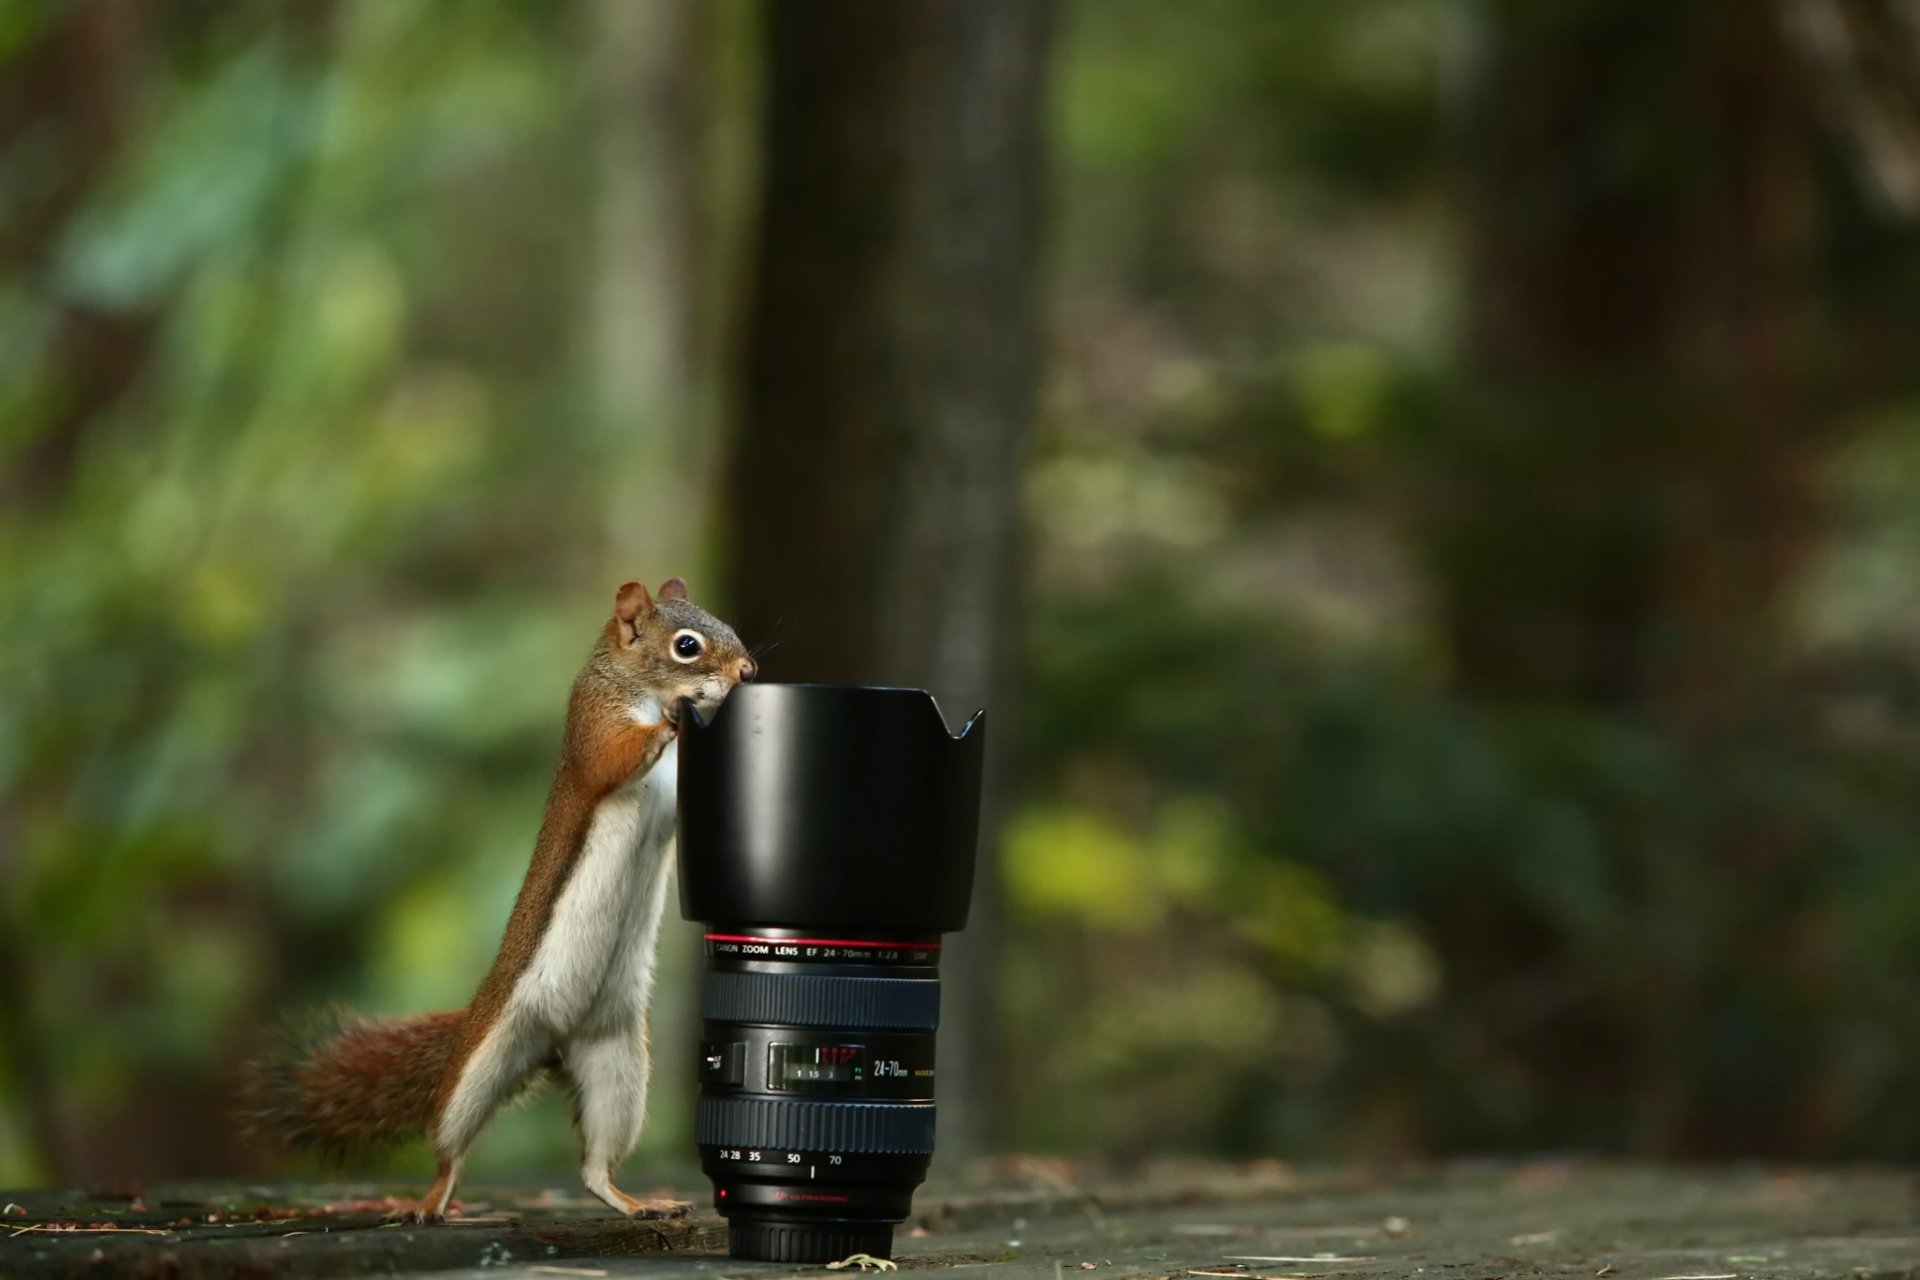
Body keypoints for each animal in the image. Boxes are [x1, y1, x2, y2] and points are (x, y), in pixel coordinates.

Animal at [246, 579, 756, 1222]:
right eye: (686, 645)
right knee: (450, 1146)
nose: (748, 670)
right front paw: (673, 717)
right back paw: (431, 1200)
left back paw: (636, 1202)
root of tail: (553, 1045)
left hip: (616, 1064)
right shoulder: (592, 725)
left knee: (594, 1166)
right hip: (484, 1062)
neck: (630, 681)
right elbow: (609, 761)